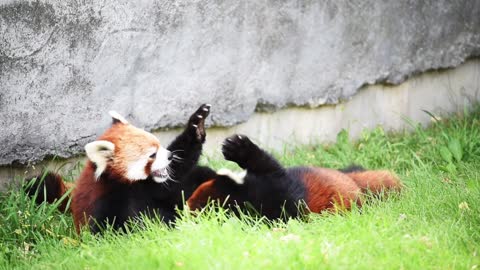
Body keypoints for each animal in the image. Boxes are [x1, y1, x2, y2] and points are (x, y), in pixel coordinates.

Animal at [27, 104, 218, 233]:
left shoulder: (153, 187)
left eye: (160, 145)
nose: (170, 156)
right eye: (152, 154)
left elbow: (178, 169)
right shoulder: (106, 201)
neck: (125, 184)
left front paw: (197, 126)